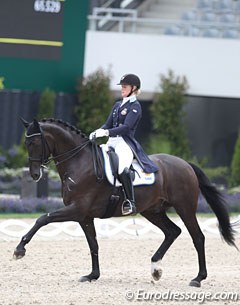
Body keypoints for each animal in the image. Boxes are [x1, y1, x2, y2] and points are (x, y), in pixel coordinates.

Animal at [13, 117, 236, 286]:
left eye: (34, 143)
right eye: (26, 143)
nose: (34, 174)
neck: (80, 163)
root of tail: (185, 164)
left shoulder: (77, 209)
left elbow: (42, 219)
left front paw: (19, 249)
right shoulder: (84, 216)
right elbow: (93, 244)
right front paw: (92, 275)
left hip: (185, 207)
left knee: (197, 237)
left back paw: (198, 278)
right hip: (153, 211)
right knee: (173, 231)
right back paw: (155, 269)